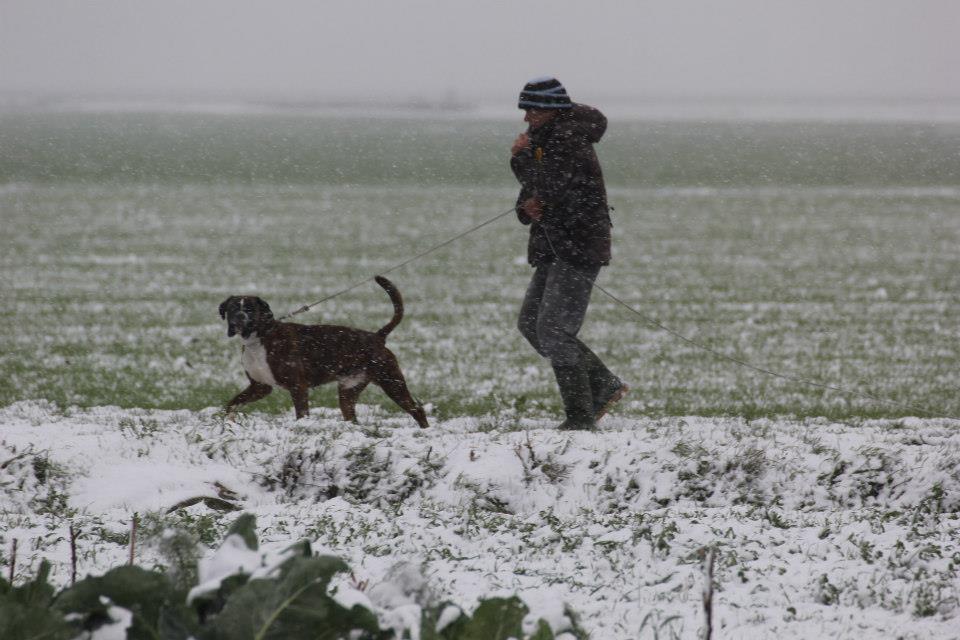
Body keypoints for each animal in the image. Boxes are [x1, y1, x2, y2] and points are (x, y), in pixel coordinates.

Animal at [219, 276, 430, 430]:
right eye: (232, 308)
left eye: (249, 309)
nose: (239, 316)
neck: (259, 337)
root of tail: (377, 336)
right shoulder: (260, 387)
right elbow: (232, 404)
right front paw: (227, 423)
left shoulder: (298, 387)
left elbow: (301, 414)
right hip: (348, 391)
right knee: (352, 416)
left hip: (392, 383)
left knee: (417, 410)